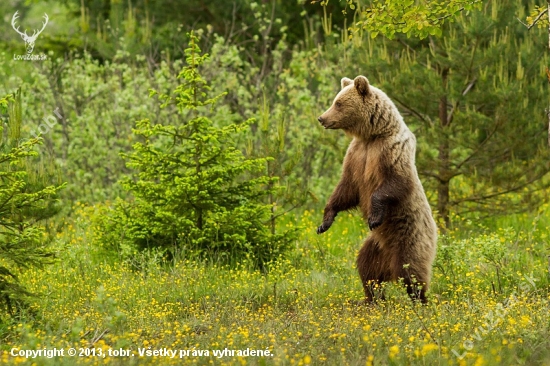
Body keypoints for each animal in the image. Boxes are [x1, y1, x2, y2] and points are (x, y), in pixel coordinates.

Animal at [316, 75, 438, 304]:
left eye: (339, 103)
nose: (322, 118)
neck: (372, 135)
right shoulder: (356, 156)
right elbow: (346, 189)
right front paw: (324, 222)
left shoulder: (392, 151)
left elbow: (395, 183)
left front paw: (373, 217)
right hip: (375, 246)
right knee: (367, 268)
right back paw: (371, 298)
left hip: (410, 239)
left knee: (412, 272)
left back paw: (420, 300)